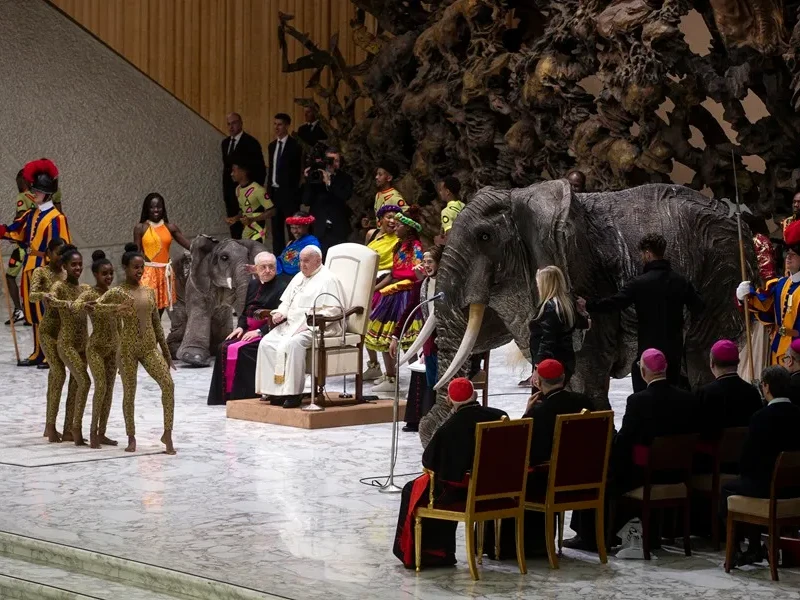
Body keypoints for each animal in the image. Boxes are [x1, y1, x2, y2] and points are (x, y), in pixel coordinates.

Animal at [416, 180, 752, 448]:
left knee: (700, 360)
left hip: (720, 272)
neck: (522, 196)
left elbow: (584, 375)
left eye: (485, 237)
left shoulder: (584, 272)